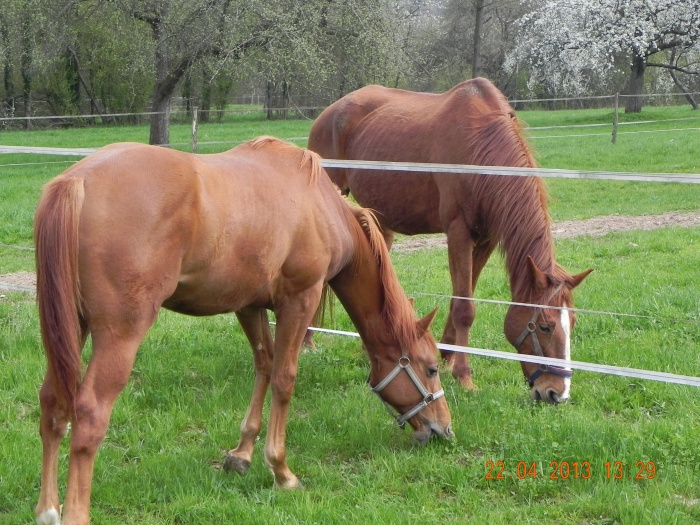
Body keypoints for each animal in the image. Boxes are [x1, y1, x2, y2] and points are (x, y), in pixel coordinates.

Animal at [34, 136, 454, 524]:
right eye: (431, 368)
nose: (444, 430)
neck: (319, 206)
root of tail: (77, 181)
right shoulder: (299, 301)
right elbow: (284, 378)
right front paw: (281, 470)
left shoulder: (249, 306)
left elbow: (264, 365)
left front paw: (242, 453)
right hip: (119, 335)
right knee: (89, 415)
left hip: (72, 329)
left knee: (53, 404)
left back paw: (48, 509)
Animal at [308, 77, 592, 398]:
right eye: (544, 326)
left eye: (573, 322)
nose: (557, 393)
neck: (481, 145)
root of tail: (329, 113)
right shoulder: (458, 233)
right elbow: (465, 308)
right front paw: (464, 375)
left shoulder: (486, 239)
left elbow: (461, 296)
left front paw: (447, 356)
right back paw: (307, 342)